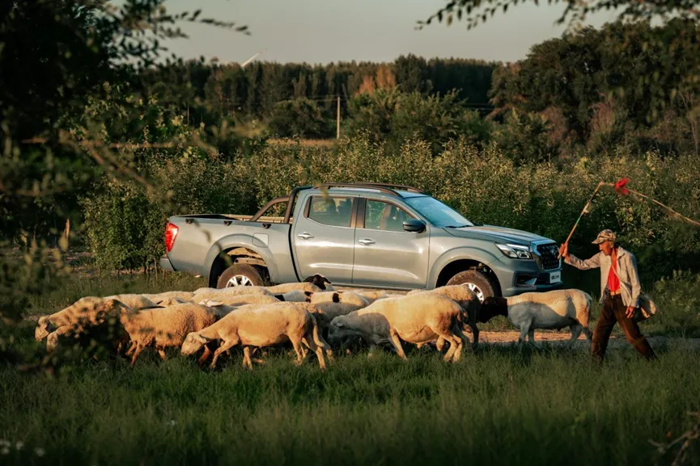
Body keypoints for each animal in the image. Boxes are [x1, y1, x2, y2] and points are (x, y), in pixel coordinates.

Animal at [180, 302, 328, 372]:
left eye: (190, 340)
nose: (182, 353)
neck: (219, 327)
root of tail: (309, 315)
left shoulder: (232, 340)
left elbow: (217, 351)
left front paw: (212, 365)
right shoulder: (246, 342)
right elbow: (247, 356)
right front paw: (247, 369)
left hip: (295, 334)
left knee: (302, 353)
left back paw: (296, 365)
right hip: (307, 334)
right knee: (318, 350)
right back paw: (323, 368)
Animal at [328, 294, 470, 362]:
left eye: (333, 328)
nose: (328, 340)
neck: (363, 321)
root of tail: (457, 307)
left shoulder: (392, 334)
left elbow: (400, 351)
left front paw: (407, 362)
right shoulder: (375, 341)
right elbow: (370, 356)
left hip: (441, 326)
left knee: (456, 342)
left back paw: (446, 359)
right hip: (454, 326)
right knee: (464, 341)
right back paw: (457, 360)